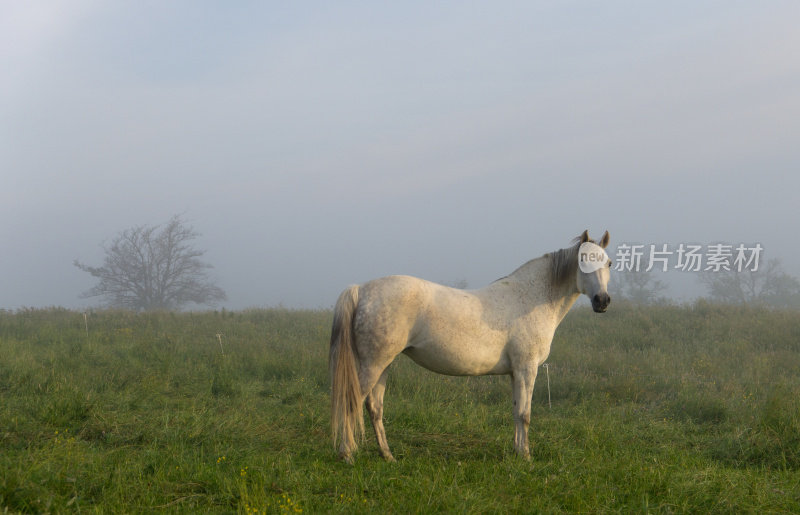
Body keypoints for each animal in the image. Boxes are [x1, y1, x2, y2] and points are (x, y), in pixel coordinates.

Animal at [328, 230, 608, 464]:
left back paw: (387, 456)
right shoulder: (527, 370)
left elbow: (516, 411)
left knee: (374, 408)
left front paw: (517, 451)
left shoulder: (515, 373)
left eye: (608, 263)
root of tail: (361, 290)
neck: (531, 298)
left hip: (383, 364)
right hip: (373, 365)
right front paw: (526, 456)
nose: (602, 301)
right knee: (352, 403)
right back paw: (347, 455)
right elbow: (525, 414)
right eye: (584, 261)